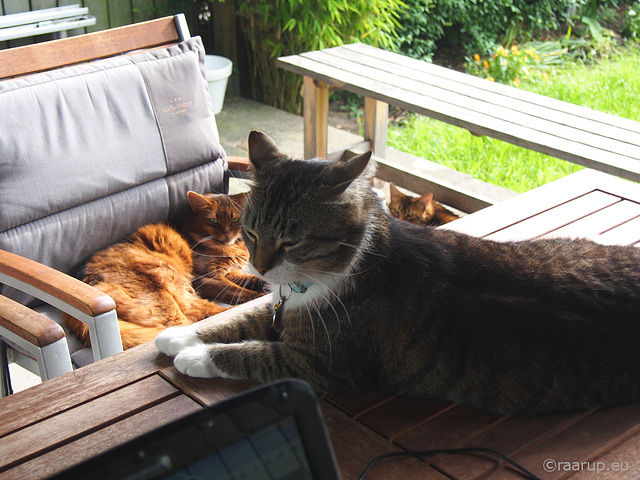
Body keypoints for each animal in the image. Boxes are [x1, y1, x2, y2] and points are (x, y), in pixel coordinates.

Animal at [155, 130, 640, 412]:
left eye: (291, 241)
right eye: (251, 231)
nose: (258, 266)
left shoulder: (324, 365)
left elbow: (253, 352)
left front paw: (195, 357)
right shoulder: (282, 306)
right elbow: (238, 320)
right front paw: (177, 336)